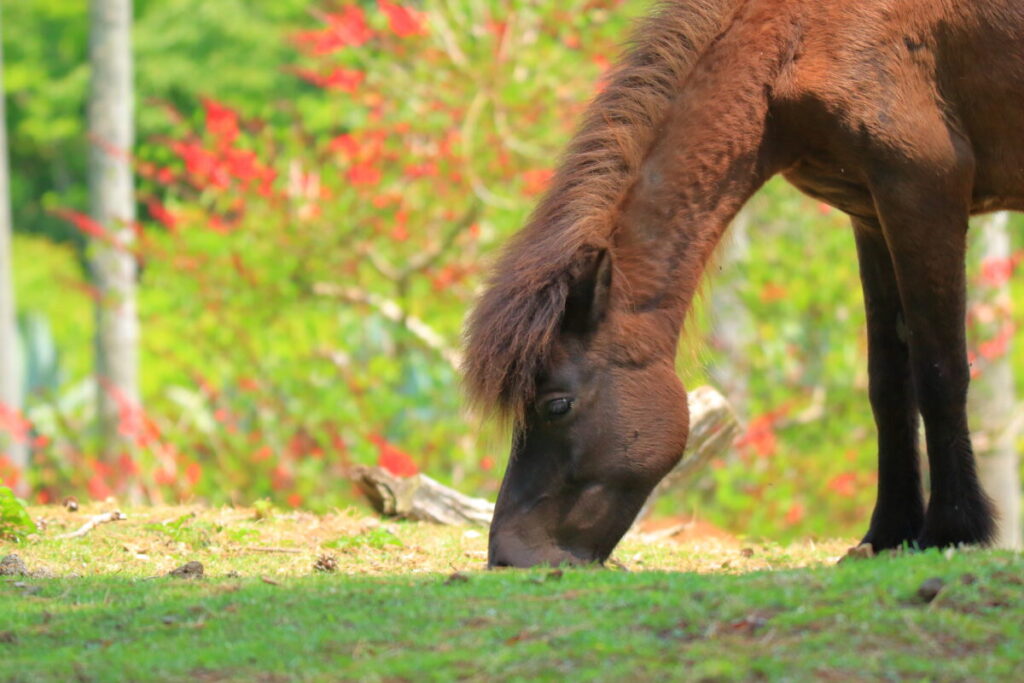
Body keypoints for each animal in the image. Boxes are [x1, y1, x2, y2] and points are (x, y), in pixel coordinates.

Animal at [463, 0, 1024, 568]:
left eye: (555, 405)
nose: (508, 554)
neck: (799, 39)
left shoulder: (922, 195)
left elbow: (939, 373)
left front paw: (951, 529)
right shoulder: (870, 213)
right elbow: (889, 385)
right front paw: (887, 531)